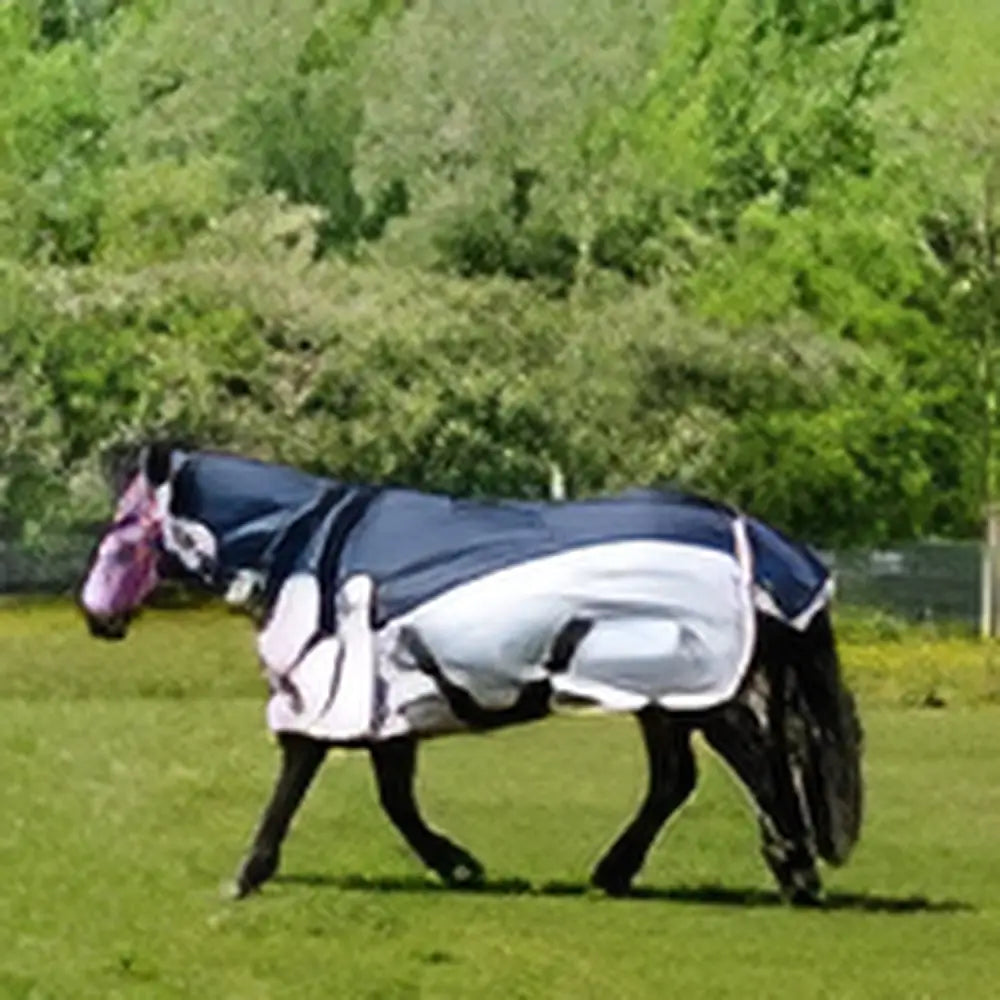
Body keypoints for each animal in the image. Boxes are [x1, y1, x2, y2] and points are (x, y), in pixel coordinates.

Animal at [80, 442, 860, 904]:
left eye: (125, 526)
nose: (96, 617)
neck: (312, 552)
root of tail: (746, 534)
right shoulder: (387, 702)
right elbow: (396, 797)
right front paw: (456, 863)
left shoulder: (332, 691)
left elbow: (299, 779)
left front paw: (246, 874)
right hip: (658, 696)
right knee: (678, 778)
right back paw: (618, 873)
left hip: (691, 690)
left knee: (753, 762)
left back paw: (796, 873)